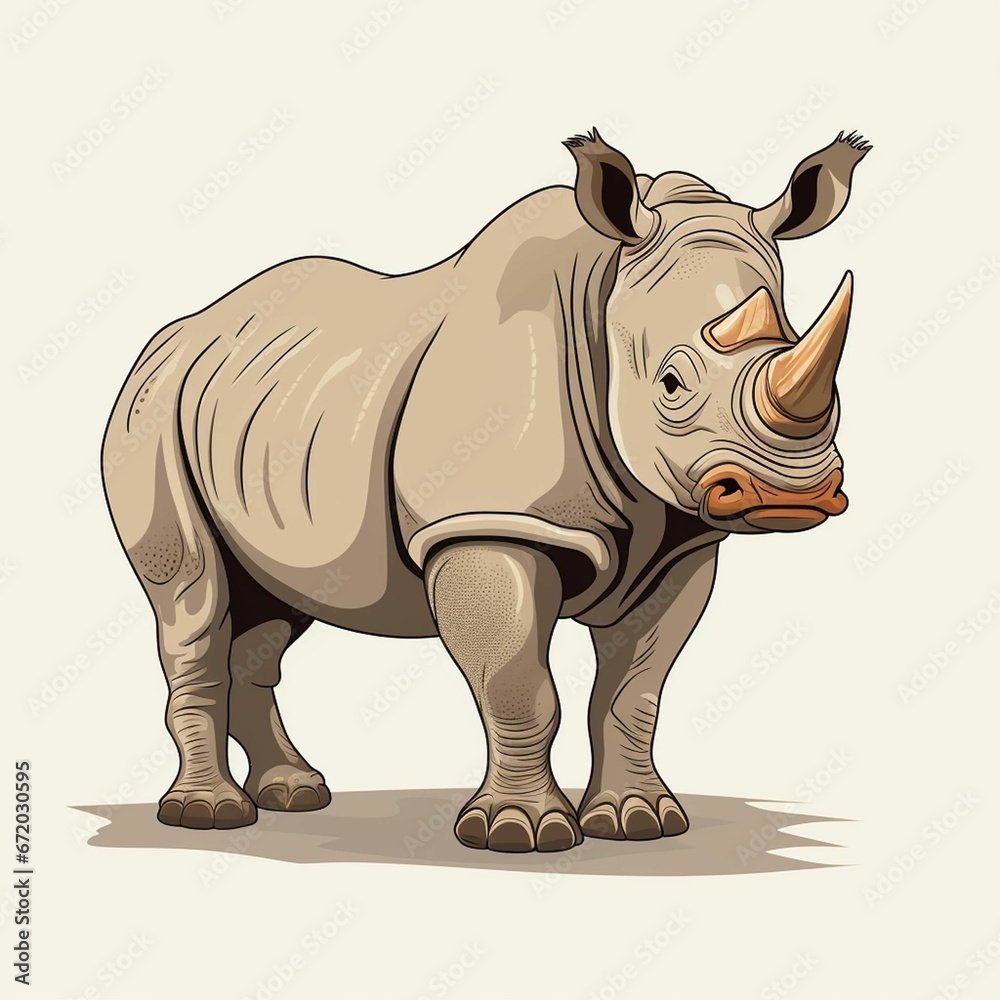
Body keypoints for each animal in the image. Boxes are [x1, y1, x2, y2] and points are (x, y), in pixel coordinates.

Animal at [103, 127, 869, 852]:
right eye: (673, 384)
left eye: (810, 359)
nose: (791, 494)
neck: (604, 289)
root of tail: (179, 333)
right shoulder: (487, 523)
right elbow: (518, 683)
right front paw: (519, 834)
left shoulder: (681, 542)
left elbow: (636, 690)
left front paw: (640, 823)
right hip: (149, 412)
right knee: (194, 599)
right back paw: (208, 816)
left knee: (271, 610)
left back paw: (295, 794)